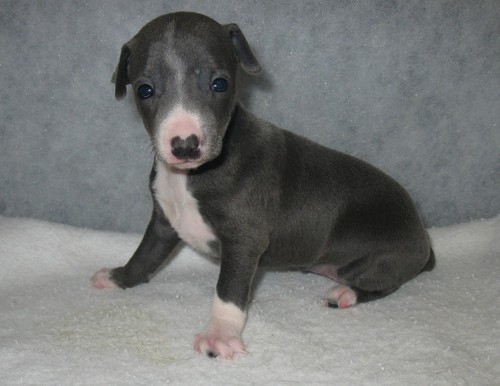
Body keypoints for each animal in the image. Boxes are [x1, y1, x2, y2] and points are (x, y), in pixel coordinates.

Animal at [93, 12, 434, 362]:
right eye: (145, 90)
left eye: (219, 84)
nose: (185, 145)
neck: (191, 176)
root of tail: (422, 235)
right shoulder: (164, 222)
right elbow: (145, 255)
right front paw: (119, 277)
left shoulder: (245, 239)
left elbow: (228, 291)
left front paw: (219, 334)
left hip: (382, 258)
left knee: (385, 284)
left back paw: (347, 293)